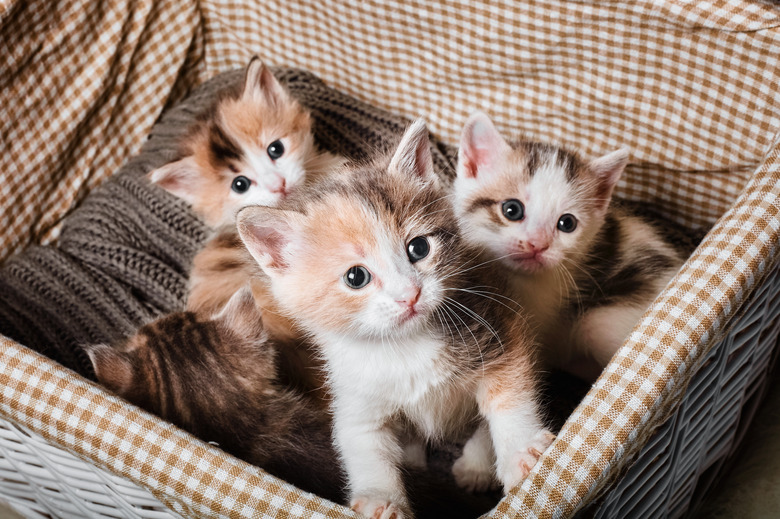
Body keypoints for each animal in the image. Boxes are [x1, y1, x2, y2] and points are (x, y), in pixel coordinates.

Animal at [238, 119, 556, 519]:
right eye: (356, 277)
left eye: (419, 247)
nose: (410, 294)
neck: (405, 346)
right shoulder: (354, 393)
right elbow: (361, 441)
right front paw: (380, 499)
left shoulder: (499, 330)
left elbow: (508, 397)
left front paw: (520, 453)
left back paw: (476, 466)